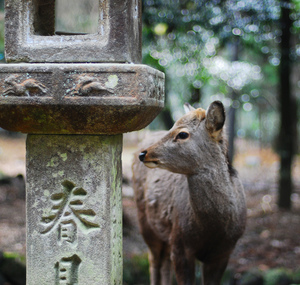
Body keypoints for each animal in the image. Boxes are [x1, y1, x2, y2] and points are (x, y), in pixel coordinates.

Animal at [132, 100, 247, 284]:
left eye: (183, 134)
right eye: (172, 126)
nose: (144, 153)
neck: (212, 228)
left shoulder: (224, 252)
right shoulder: (181, 244)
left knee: (164, 262)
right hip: (145, 222)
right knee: (154, 260)